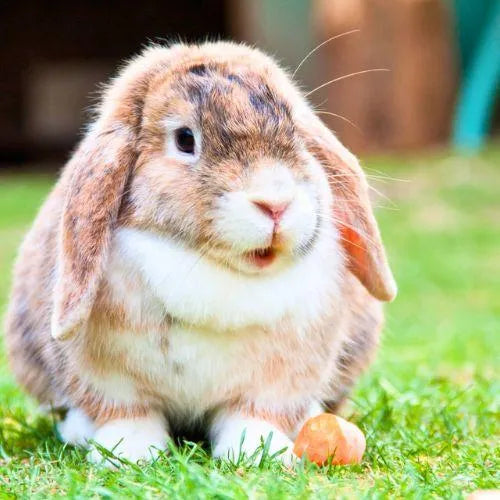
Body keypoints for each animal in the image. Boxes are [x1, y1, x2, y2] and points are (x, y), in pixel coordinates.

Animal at [4, 41, 396, 466]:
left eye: (295, 130)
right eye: (185, 139)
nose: (275, 203)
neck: (216, 268)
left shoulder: (279, 381)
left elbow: (254, 415)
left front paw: (259, 453)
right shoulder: (109, 380)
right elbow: (128, 414)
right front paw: (129, 453)